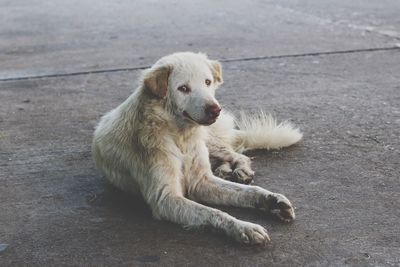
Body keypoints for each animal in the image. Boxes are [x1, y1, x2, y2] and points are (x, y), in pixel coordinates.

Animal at [92, 51, 302, 245]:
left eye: (208, 82)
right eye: (183, 88)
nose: (215, 110)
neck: (179, 136)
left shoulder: (201, 181)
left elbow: (247, 191)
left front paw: (270, 199)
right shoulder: (166, 198)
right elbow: (214, 212)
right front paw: (244, 228)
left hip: (208, 140)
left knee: (236, 154)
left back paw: (239, 171)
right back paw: (226, 170)